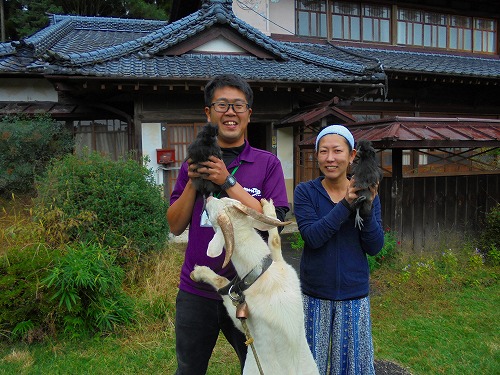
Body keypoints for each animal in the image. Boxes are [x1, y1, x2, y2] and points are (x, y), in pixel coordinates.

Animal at [189, 198, 318, 374]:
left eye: (215, 213)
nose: (208, 199)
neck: (262, 275)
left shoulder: (240, 316)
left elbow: (222, 283)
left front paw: (199, 272)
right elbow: (275, 242)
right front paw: (269, 208)